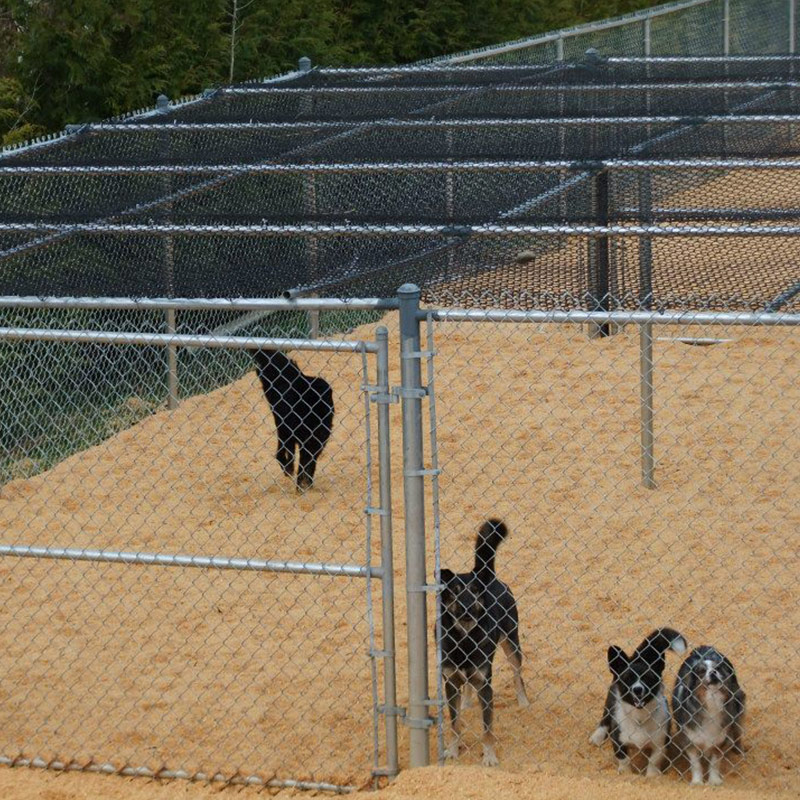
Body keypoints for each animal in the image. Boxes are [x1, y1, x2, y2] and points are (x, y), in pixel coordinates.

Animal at [438, 520, 532, 768]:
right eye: (455, 592)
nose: (466, 608)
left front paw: (489, 756)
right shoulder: (450, 683)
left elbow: (488, 728)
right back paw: (466, 703)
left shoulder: (485, 685)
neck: (464, 639)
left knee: (517, 674)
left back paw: (523, 701)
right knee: (468, 687)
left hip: (511, 643)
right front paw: (452, 750)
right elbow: (455, 724)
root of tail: (492, 578)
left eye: (473, 591)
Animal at [588, 628, 688, 780]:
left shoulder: (660, 744)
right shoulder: (619, 741)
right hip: (610, 702)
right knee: (605, 718)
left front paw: (652, 776)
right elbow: (624, 759)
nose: (637, 689)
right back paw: (597, 737)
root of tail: (636, 657)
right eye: (627, 679)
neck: (639, 717)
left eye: (647, 678)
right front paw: (626, 773)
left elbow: (654, 760)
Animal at [672, 648, 748, 784]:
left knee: (737, 731)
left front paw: (714, 781)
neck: (711, 702)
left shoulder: (719, 741)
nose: (713, 672)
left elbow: (714, 763)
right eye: (702, 671)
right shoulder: (689, 740)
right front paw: (697, 782)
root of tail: (705, 647)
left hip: (739, 706)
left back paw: (739, 751)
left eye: (718, 668)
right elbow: (696, 764)